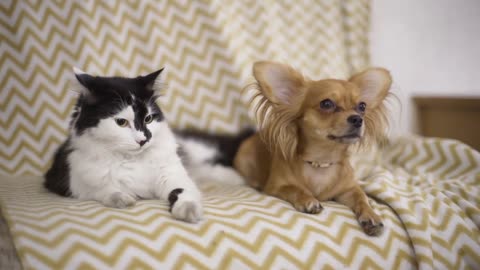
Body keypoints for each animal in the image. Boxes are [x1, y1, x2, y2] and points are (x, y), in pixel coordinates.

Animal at [44, 68, 249, 224]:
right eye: (121, 122)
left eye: (148, 119)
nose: (144, 139)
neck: (132, 159)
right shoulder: (71, 180)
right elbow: (106, 189)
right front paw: (122, 198)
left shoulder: (172, 174)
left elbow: (183, 191)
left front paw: (188, 210)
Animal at [233, 61, 394, 236]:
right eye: (326, 104)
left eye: (362, 106)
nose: (358, 119)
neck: (321, 160)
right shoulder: (276, 187)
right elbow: (295, 189)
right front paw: (308, 200)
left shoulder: (348, 189)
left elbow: (362, 197)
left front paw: (371, 215)